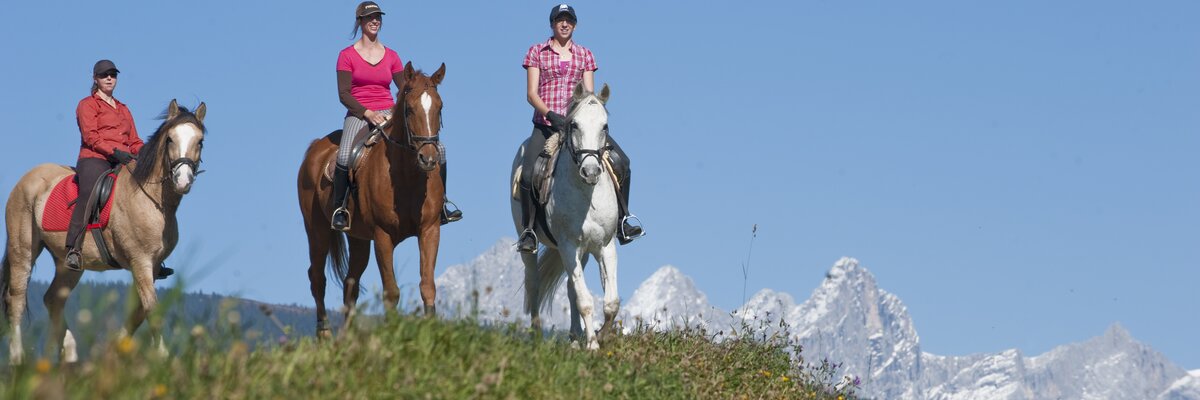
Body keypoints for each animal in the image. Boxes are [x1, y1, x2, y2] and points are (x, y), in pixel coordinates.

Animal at [2, 99, 206, 360]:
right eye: (170, 139)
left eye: (199, 141)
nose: (182, 180)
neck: (151, 200)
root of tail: (27, 179)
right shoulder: (140, 261)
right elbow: (151, 308)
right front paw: (163, 356)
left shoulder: (152, 266)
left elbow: (138, 312)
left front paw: (113, 351)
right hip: (23, 250)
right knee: (16, 299)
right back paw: (18, 359)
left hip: (68, 263)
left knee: (53, 299)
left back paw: (69, 356)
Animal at [297, 62, 448, 336]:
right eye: (409, 109)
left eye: (439, 107)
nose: (429, 159)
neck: (406, 177)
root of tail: (315, 148)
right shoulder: (382, 235)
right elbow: (391, 292)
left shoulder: (430, 229)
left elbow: (427, 285)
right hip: (317, 230)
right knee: (317, 278)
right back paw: (325, 334)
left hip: (358, 239)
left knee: (350, 284)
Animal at [508, 82, 619, 348]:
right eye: (574, 125)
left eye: (605, 126)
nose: (591, 171)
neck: (587, 196)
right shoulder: (568, 246)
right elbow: (585, 301)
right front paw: (593, 345)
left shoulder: (605, 246)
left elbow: (611, 302)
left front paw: (602, 335)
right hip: (530, 243)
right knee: (534, 283)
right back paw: (537, 336)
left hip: (583, 251)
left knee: (570, 286)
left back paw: (575, 336)